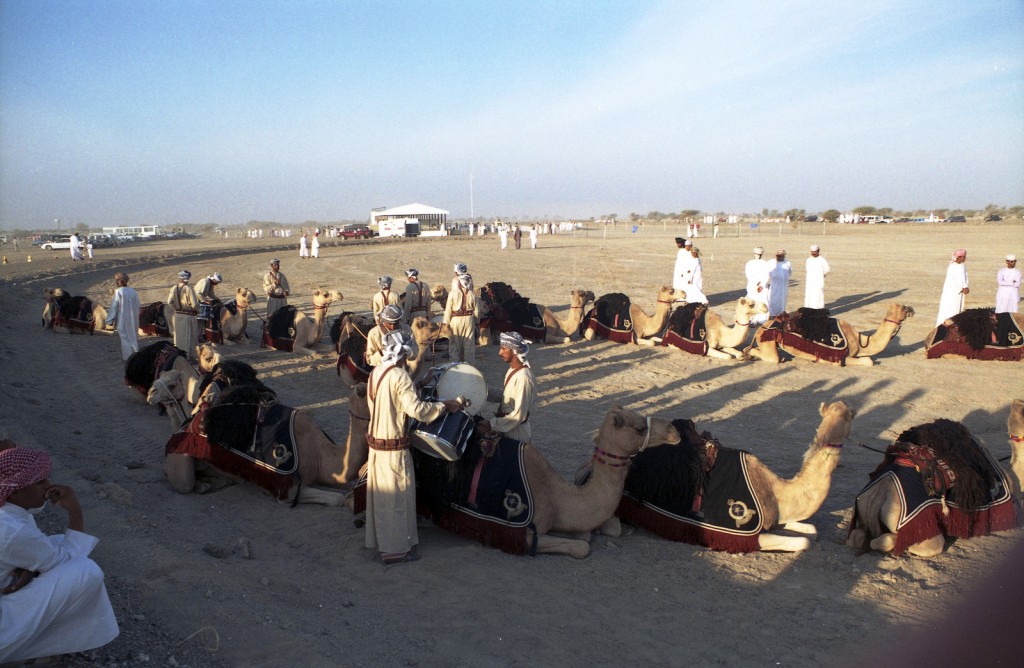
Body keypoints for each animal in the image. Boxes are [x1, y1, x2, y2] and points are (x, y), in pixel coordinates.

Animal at [165, 379, 374, 504]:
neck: (320, 455)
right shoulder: (287, 489)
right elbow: (338, 499)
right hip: (179, 453)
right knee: (183, 482)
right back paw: (202, 486)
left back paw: (214, 483)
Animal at [745, 303, 913, 364]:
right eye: (902, 308)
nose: (911, 309)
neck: (860, 341)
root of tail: (762, 327)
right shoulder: (839, 358)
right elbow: (868, 361)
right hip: (767, 338)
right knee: (773, 358)